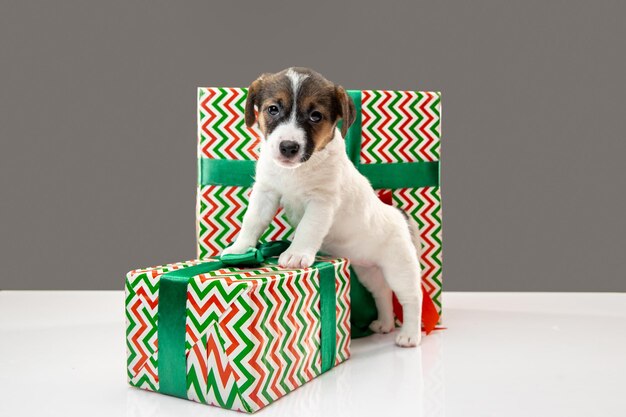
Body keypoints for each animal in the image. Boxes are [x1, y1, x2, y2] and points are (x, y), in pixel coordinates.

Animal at [222, 66, 422, 346]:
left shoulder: (321, 202)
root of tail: (400, 215)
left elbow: (307, 229)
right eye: (273, 109)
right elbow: (252, 222)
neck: (297, 171)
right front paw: (240, 248)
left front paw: (296, 254)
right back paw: (384, 323)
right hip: (367, 271)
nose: (288, 147)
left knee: (411, 298)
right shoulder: (266, 192)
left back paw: (409, 335)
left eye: (315, 116)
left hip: (399, 265)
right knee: (381, 292)